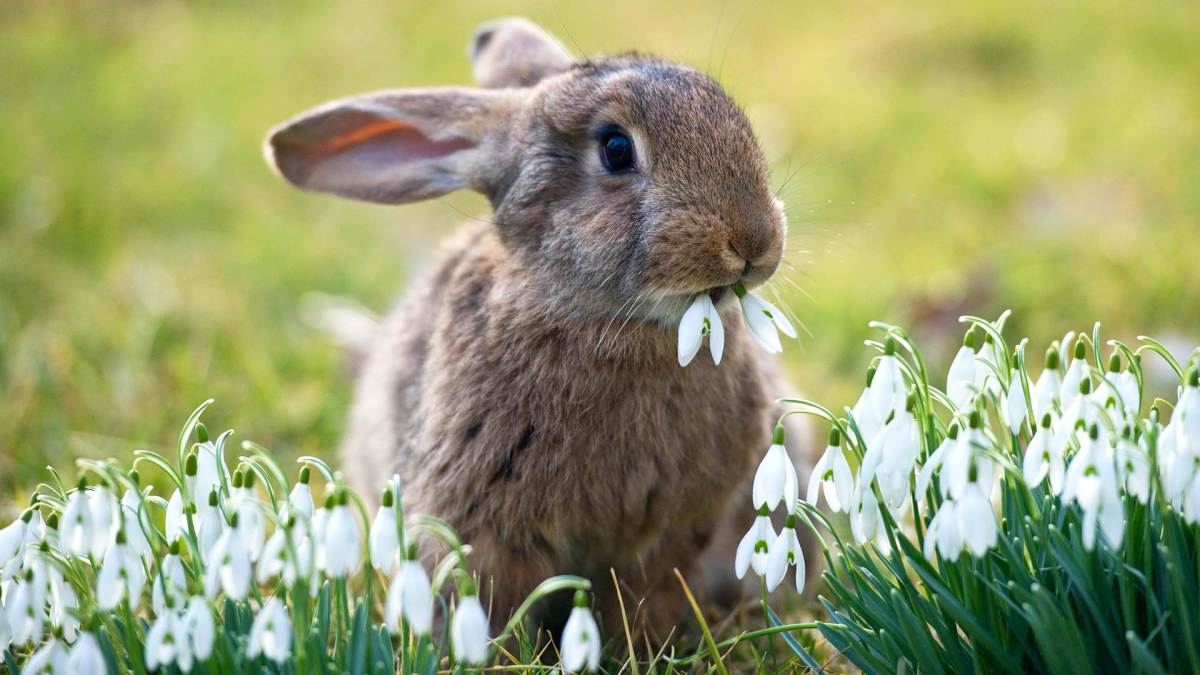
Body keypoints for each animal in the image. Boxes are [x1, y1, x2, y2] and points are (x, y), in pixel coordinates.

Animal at [265, 17, 815, 640]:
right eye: (616, 149)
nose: (755, 240)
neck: (606, 319)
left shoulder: (676, 530)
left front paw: (645, 644)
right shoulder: (484, 525)